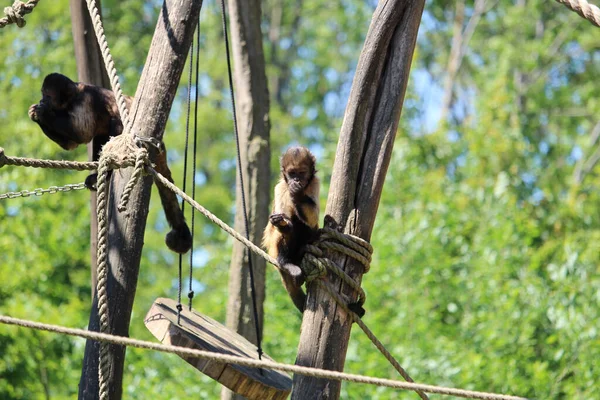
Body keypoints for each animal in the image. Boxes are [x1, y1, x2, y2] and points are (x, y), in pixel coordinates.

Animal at [28, 72, 192, 253]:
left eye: (47, 96)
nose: (42, 100)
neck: (73, 97)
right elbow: (72, 144)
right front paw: (36, 113)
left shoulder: (86, 100)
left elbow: (82, 133)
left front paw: (42, 113)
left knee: (114, 123)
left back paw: (107, 172)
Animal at [262, 145, 318, 310]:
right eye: (292, 173)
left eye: (301, 173)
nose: (296, 180)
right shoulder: (280, 187)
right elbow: (283, 221)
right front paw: (282, 223)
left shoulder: (315, 182)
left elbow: (313, 219)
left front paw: (298, 195)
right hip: (275, 250)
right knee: (289, 226)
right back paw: (287, 263)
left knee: (304, 224)